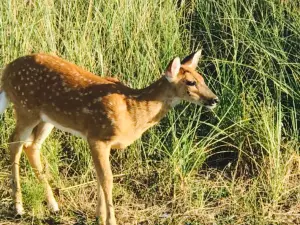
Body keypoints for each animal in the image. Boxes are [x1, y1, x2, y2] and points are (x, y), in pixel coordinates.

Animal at [0, 50, 218, 224]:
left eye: (202, 78)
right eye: (190, 82)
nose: (214, 99)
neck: (132, 111)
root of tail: (6, 70)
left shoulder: (104, 143)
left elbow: (99, 176)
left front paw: (99, 216)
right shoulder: (97, 137)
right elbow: (107, 179)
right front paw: (110, 220)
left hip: (47, 118)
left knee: (31, 146)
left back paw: (53, 205)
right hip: (25, 108)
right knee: (14, 143)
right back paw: (19, 207)